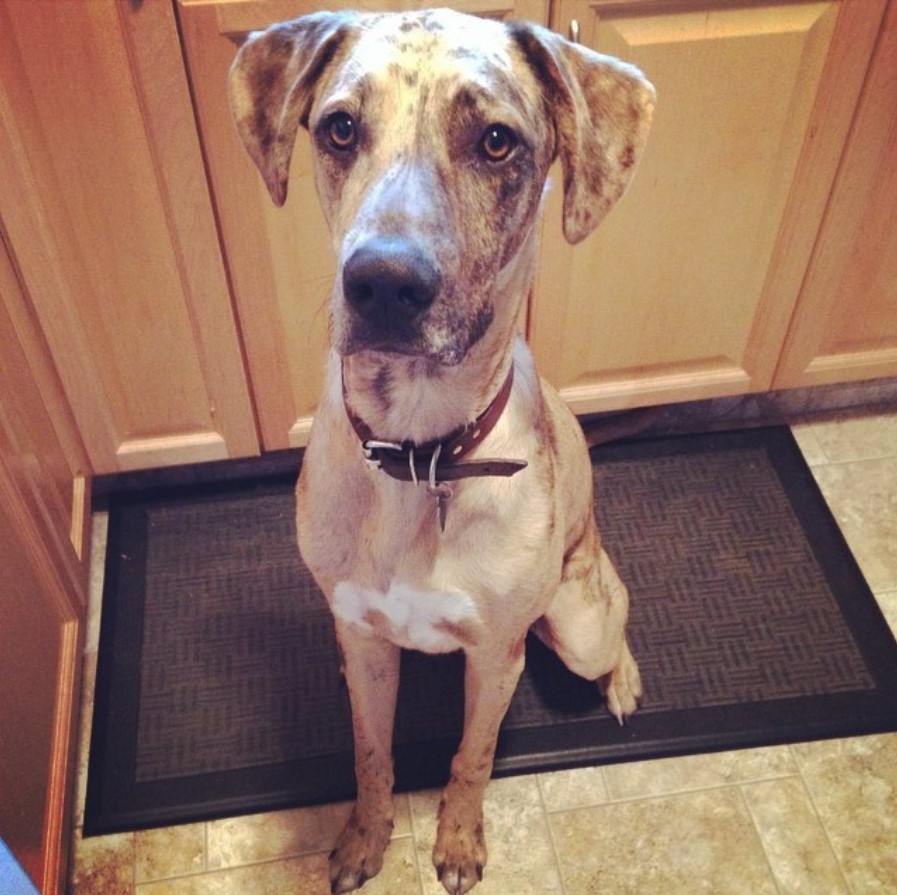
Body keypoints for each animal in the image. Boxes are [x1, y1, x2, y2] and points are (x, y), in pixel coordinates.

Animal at [229, 8, 652, 895]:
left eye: (495, 141)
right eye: (339, 127)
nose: (383, 283)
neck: (419, 453)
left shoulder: (493, 658)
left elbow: (470, 757)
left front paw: (456, 840)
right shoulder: (363, 640)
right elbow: (370, 754)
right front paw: (364, 838)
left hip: (578, 618)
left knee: (616, 625)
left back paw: (623, 681)